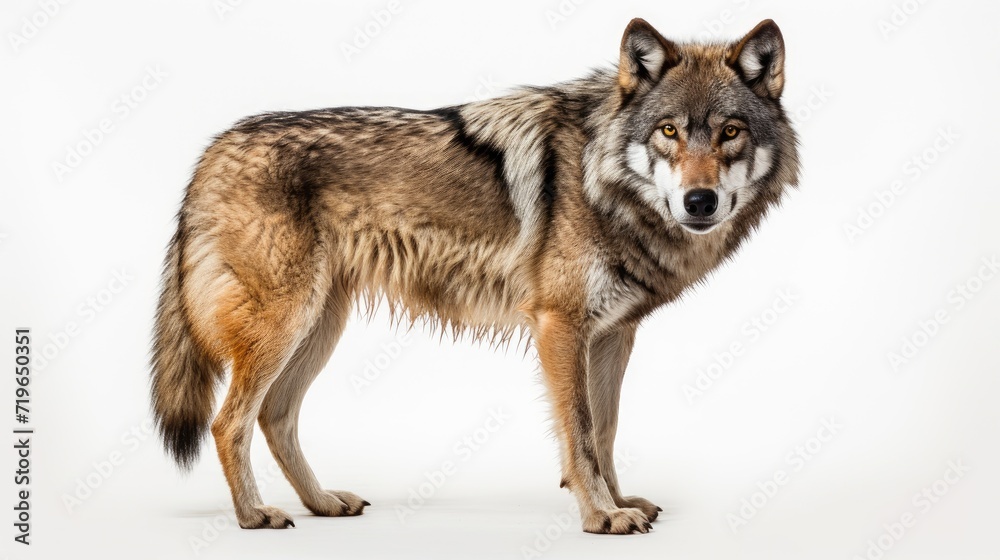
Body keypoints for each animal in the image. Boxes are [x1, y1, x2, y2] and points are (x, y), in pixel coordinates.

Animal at [150, 18, 799, 534]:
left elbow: (607, 430)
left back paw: (322, 504)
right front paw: (601, 516)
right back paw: (254, 516)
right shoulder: (559, 327)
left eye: (730, 132)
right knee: (228, 422)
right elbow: (581, 433)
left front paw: (618, 501)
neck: (602, 180)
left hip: (319, 328)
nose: (699, 201)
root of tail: (210, 152)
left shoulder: (613, 334)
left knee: (275, 416)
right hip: (286, 325)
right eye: (668, 131)